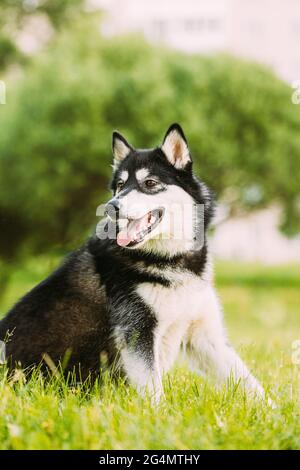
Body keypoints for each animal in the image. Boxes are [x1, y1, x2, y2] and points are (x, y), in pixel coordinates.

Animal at [0, 126, 264, 404]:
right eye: (120, 185)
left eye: (149, 183)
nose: (111, 206)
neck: (170, 261)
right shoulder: (137, 333)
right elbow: (154, 390)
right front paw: (160, 414)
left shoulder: (205, 336)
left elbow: (251, 384)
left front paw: (273, 410)